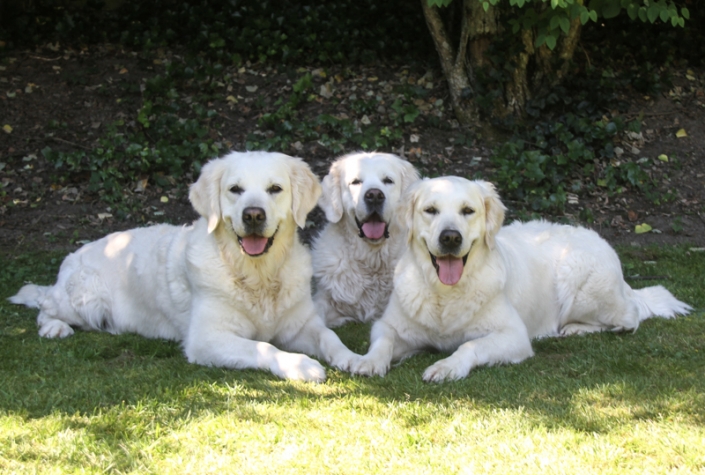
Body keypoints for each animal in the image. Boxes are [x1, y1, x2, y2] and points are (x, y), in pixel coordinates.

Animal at [9, 151, 361, 382]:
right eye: (235, 189)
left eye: (275, 189)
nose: (253, 215)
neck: (257, 275)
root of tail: (74, 254)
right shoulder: (205, 338)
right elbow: (264, 347)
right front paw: (301, 365)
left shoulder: (301, 324)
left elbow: (330, 337)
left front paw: (353, 358)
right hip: (86, 300)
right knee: (45, 304)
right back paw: (54, 327)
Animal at [350, 176, 692, 382]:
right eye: (430, 210)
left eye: (468, 211)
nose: (450, 237)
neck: (445, 294)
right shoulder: (391, 325)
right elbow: (382, 340)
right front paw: (368, 361)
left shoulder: (514, 336)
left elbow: (469, 346)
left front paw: (447, 366)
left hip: (579, 280)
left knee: (629, 317)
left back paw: (578, 328)